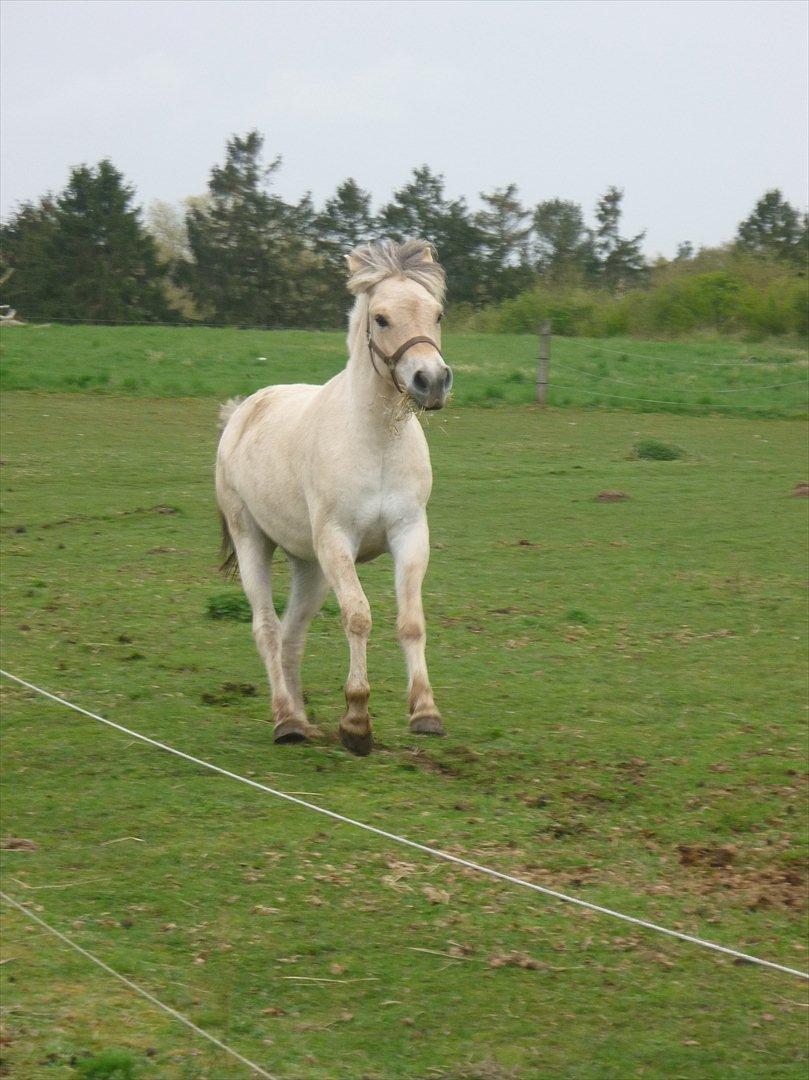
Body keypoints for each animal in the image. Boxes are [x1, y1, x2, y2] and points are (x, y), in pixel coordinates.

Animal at [214, 240, 453, 756]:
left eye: (438, 314)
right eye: (381, 318)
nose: (431, 381)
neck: (376, 442)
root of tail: (242, 411)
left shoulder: (410, 534)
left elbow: (411, 621)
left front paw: (425, 712)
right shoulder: (337, 540)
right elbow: (358, 618)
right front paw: (357, 721)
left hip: (310, 566)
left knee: (291, 635)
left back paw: (303, 720)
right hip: (254, 541)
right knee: (267, 629)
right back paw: (286, 721)